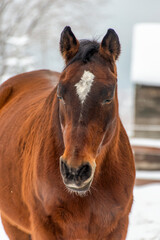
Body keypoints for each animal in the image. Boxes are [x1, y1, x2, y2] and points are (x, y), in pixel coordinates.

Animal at [0, 26, 135, 240]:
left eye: (108, 96)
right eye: (60, 94)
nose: (75, 171)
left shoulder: (118, 228)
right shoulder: (44, 228)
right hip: (14, 225)